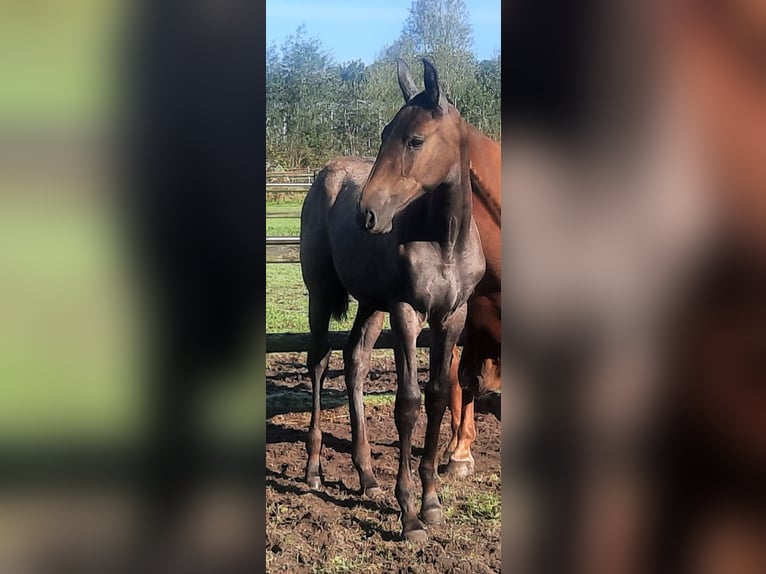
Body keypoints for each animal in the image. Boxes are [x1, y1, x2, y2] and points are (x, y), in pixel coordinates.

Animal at [302, 59, 486, 544]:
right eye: (385, 132)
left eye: (415, 140)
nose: (367, 214)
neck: (444, 242)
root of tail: (326, 173)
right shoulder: (407, 313)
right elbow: (407, 403)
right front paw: (408, 515)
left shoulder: (451, 318)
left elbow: (438, 395)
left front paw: (432, 502)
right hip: (320, 295)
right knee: (320, 362)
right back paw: (313, 468)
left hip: (371, 305)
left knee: (355, 362)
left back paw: (367, 476)